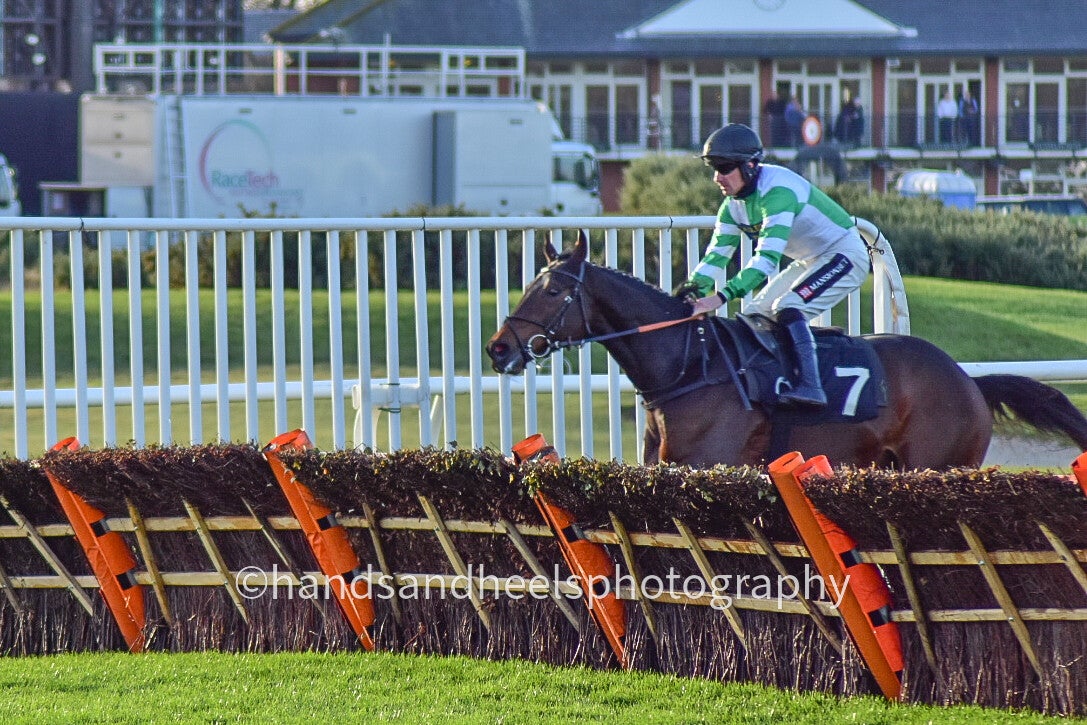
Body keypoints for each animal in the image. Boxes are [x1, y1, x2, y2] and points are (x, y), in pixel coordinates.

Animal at [485, 233, 1087, 469]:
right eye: (530, 284)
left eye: (554, 291)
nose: (498, 348)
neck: (687, 366)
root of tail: (968, 379)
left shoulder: (713, 463)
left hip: (937, 465)